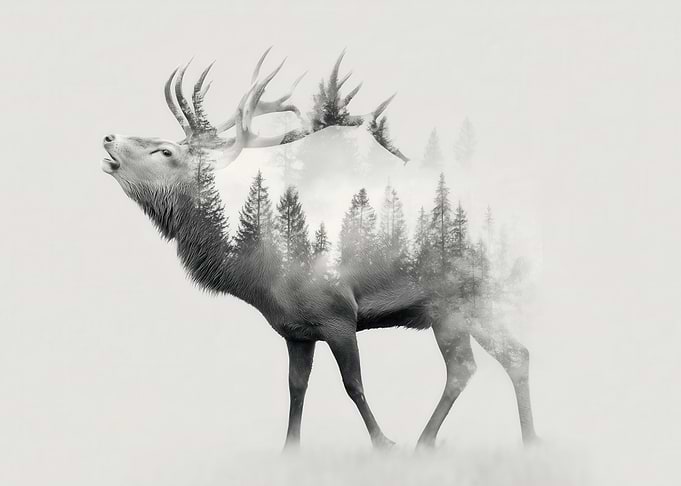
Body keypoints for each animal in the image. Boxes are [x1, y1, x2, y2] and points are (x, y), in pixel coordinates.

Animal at [101, 49, 537, 450]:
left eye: (165, 151)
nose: (108, 137)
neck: (261, 274)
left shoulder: (338, 315)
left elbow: (353, 384)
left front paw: (383, 443)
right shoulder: (296, 331)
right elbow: (296, 388)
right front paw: (290, 449)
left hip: (452, 305)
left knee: (469, 366)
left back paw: (428, 442)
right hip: (472, 307)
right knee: (511, 356)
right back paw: (524, 439)